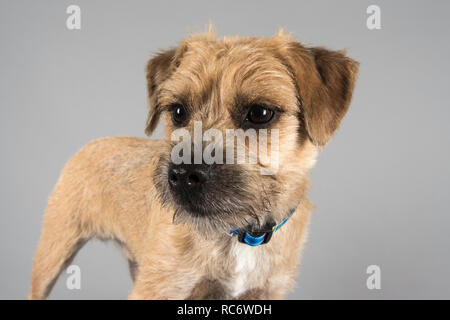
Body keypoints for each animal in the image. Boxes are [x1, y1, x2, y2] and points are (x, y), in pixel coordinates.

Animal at [29, 28, 358, 300]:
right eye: (178, 112)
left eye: (260, 113)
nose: (183, 175)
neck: (237, 236)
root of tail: (90, 145)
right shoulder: (159, 289)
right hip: (52, 255)